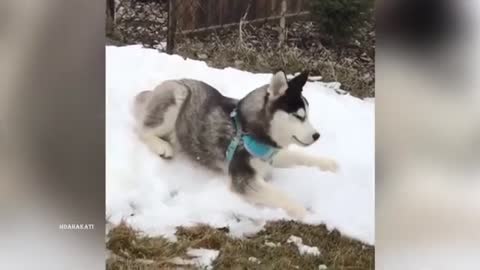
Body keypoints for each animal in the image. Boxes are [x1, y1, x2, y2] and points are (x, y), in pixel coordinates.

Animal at [133, 71, 340, 219]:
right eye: (298, 116)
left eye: (307, 115)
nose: (316, 136)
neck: (253, 132)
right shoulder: (244, 179)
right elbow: (281, 195)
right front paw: (306, 214)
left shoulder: (272, 156)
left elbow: (300, 156)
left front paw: (329, 164)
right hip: (179, 95)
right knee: (143, 130)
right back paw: (162, 146)